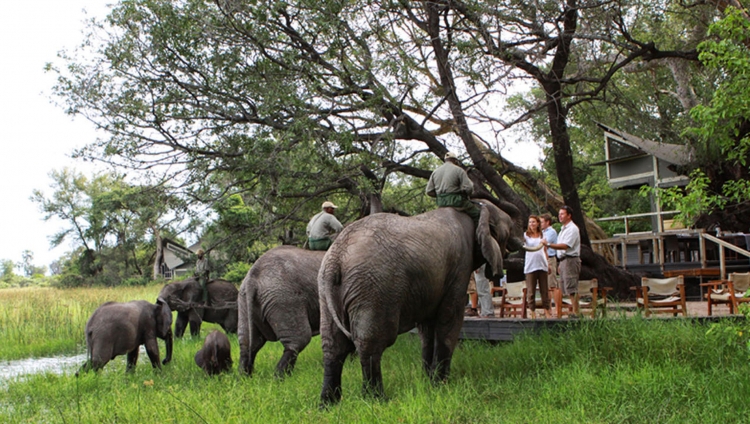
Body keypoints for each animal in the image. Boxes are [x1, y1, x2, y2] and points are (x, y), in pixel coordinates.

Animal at [238, 245, 326, 378]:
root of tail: (252, 278)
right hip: (285, 299)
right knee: (298, 341)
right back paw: (281, 378)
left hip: (244, 301)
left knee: (249, 343)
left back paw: (244, 378)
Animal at [318, 200, 528, 406]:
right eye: (509, 228)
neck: (475, 212)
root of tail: (335, 260)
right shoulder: (460, 267)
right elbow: (450, 320)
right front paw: (441, 384)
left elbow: (427, 330)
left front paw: (428, 381)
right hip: (373, 287)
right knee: (372, 342)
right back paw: (376, 400)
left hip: (328, 292)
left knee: (332, 345)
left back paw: (328, 404)